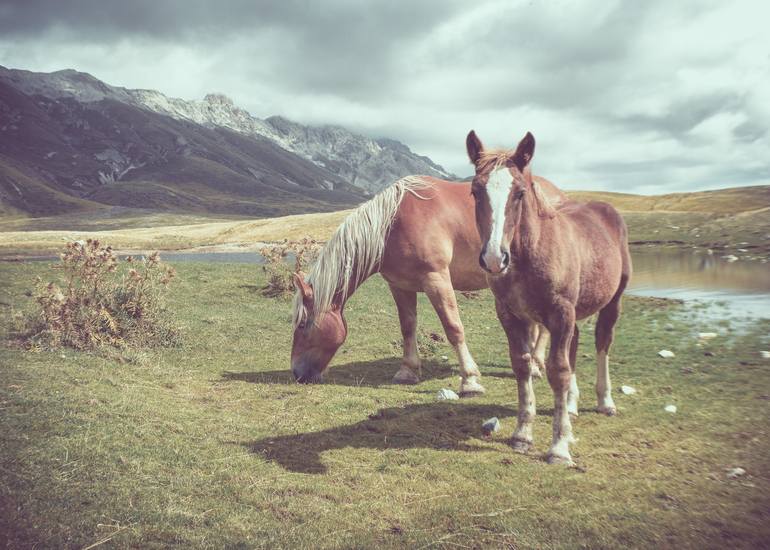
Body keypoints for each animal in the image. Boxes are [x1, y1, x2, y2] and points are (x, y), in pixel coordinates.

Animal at [288, 175, 564, 394]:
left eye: (302, 324)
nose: (297, 373)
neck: (391, 225)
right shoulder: (400, 286)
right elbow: (408, 327)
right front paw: (408, 371)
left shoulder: (437, 279)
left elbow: (453, 327)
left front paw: (470, 380)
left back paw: (536, 365)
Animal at [464, 130, 628, 466]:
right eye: (475, 191)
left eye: (520, 192)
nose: (494, 258)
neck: (529, 254)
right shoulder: (510, 314)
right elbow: (523, 365)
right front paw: (522, 435)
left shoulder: (560, 312)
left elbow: (558, 371)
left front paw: (559, 447)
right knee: (575, 344)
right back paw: (573, 405)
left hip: (612, 301)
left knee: (603, 342)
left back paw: (605, 401)